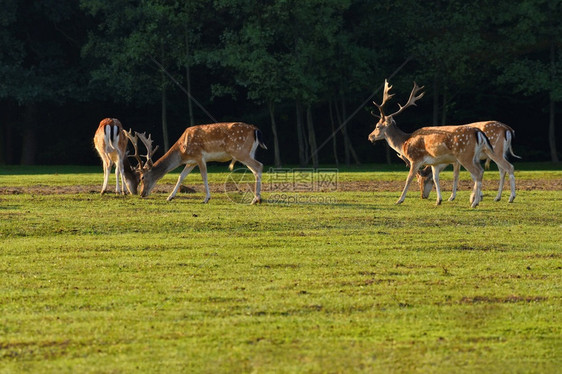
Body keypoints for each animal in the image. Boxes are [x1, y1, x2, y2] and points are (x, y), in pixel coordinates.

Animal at [127, 122, 266, 205]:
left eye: (142, 177)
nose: (142, 194)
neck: (182, 151)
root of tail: (256, 130)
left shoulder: (199, 156)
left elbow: (204, 176)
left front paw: (206, 198)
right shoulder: (191, 162)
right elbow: (180, 176)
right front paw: (170, 197)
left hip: (240, 151)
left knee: (259, 166)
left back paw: (256, 199)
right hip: (249, 152)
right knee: (255, 170)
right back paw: (257, 198)